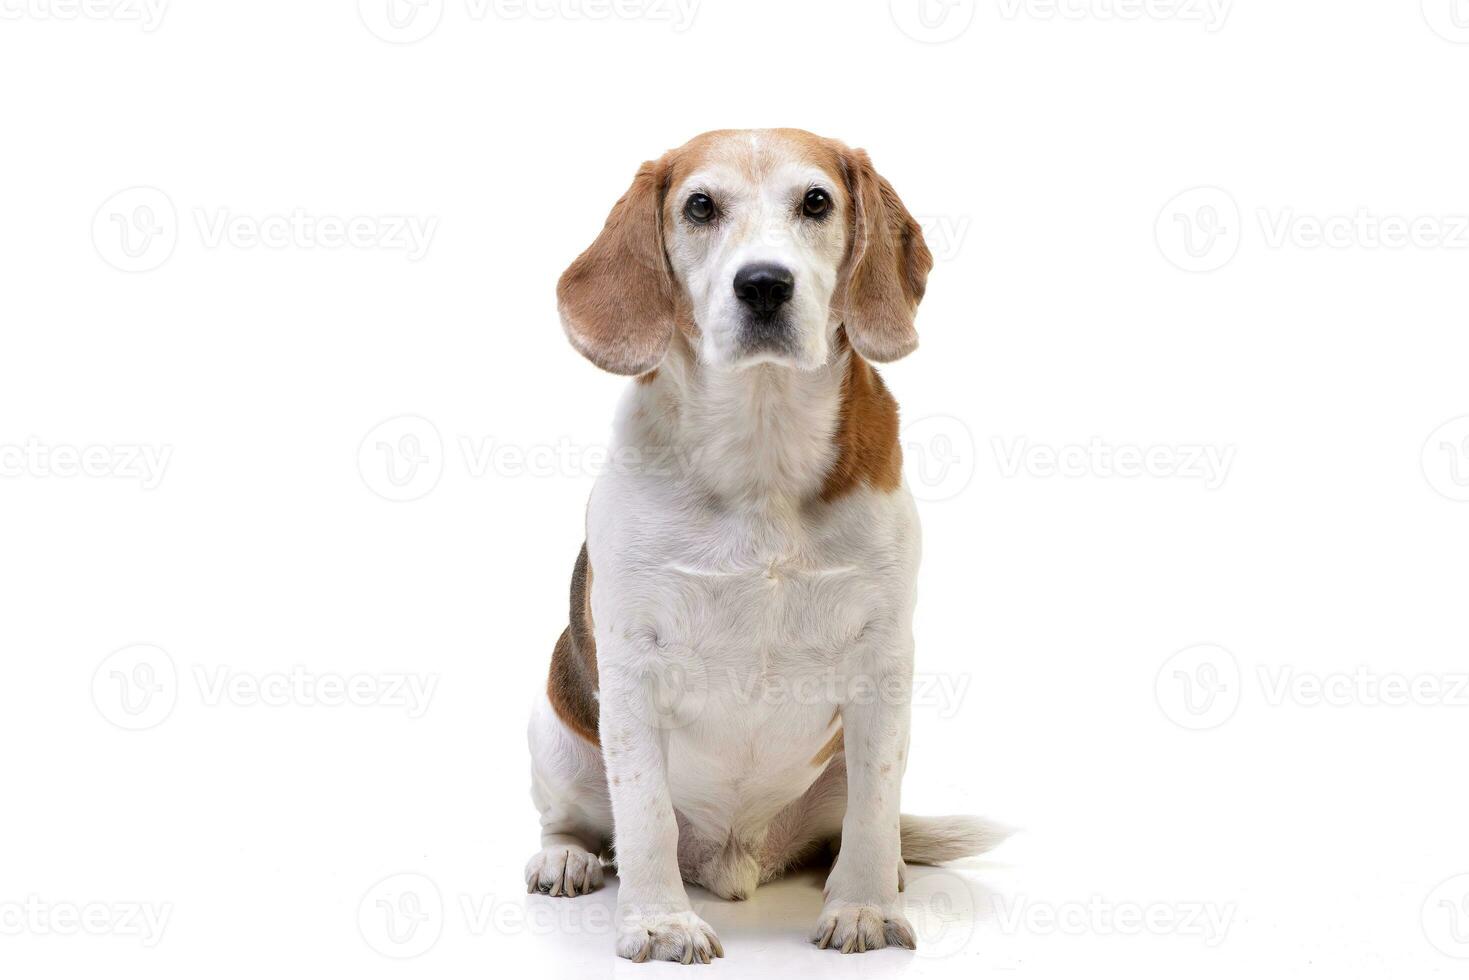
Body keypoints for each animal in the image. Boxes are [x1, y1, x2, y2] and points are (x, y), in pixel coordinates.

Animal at [525, 130, 998, 963]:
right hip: (551, 727)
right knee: (577, 821)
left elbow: (874, 807)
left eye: (816, 201)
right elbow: (643, 815)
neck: (760, 439)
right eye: (698, 206)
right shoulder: (631, 662)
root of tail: (738, 857)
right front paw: (660, 921)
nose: (765, 285)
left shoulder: (883, 662)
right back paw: (567, 859)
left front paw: (864, 908)